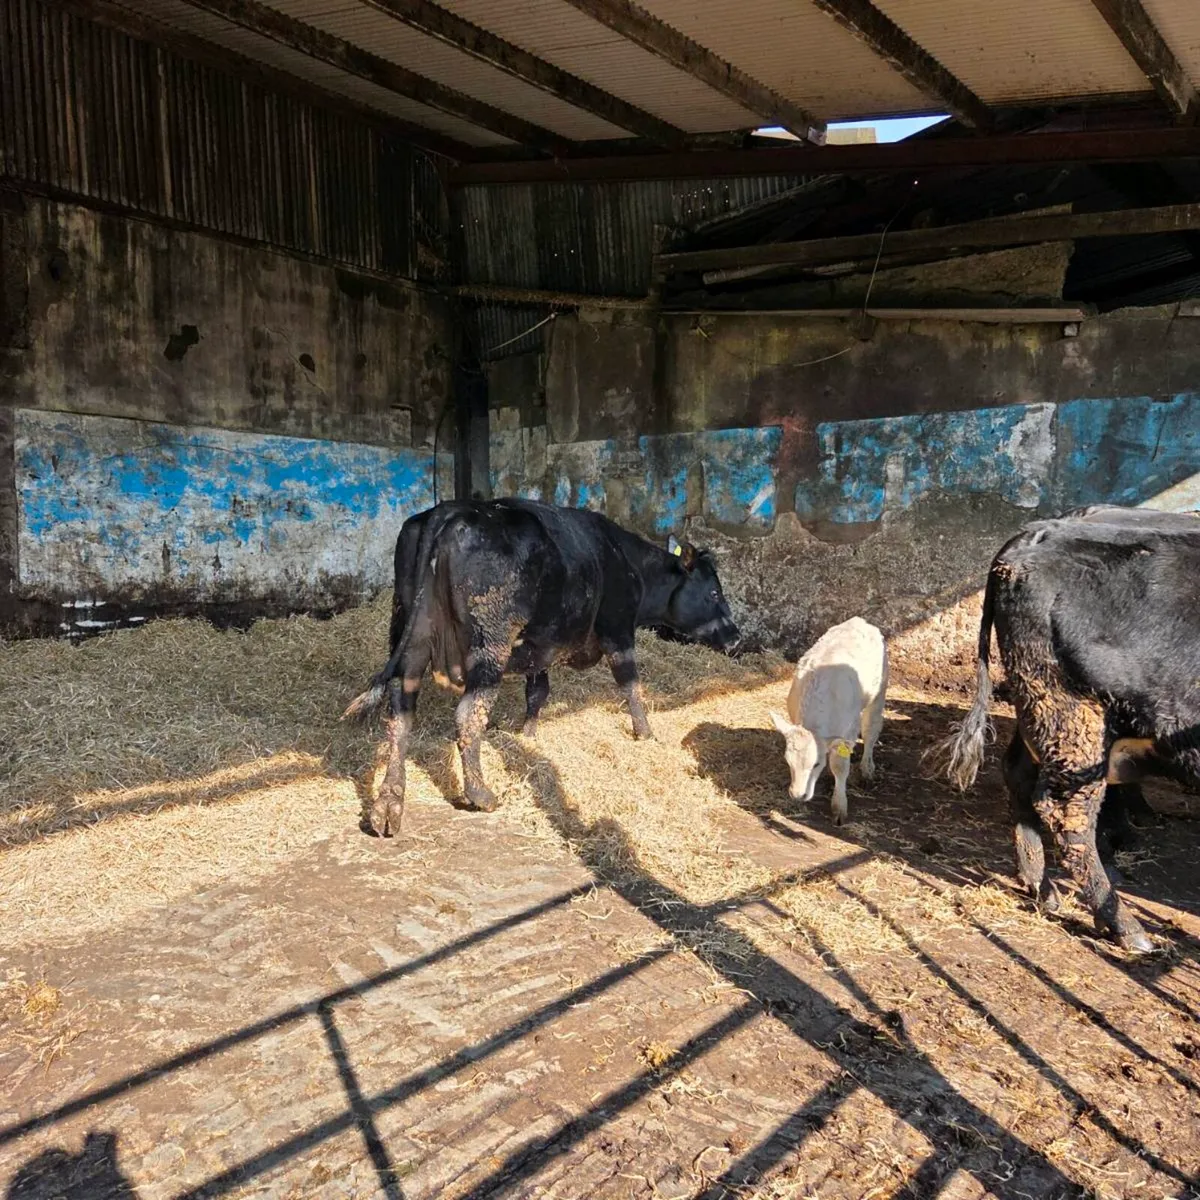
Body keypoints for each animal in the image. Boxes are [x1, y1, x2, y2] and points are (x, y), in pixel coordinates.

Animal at [344, 498, 741, 837]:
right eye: (714, 593)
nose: (736, 637)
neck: (628, 563)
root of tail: (452, 510)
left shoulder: (541, 645)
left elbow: (538, 692)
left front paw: (529, 736)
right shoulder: (617, 629)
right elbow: (631, 685)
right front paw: (645, 733)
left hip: (410, 634)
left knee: (400, 711)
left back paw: (388, 806)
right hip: (490, 642)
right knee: (469, 715)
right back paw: (480, 794)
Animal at [769, 617, 888, 826]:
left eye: (816, 764)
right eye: (788, 761)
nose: (797, 794)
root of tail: (859, 620)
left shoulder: (848, 731)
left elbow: (839, 766)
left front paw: (839, 807)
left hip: (879, 691)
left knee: (871, 730)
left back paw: (867, 768)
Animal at [940, 504, 1200, 953]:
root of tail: (1036, 535)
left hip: (1043, 710)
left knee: (1021, 776)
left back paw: (1041, 886)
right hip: (1075, 716)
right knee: (1067, 812)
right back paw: (1124, 926)